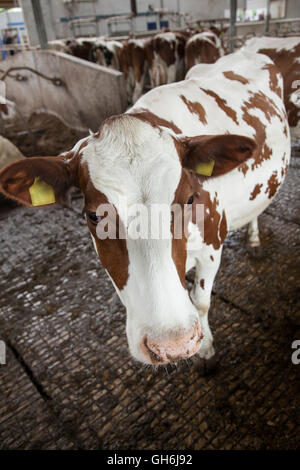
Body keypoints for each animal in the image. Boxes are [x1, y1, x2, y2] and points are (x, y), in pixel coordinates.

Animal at [0, 50, 290, 368]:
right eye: (94, 215)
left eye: (190, 200)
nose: (172, 345)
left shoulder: (213, 245)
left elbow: (201, 301)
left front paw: (205, 351)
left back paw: (254, 240)